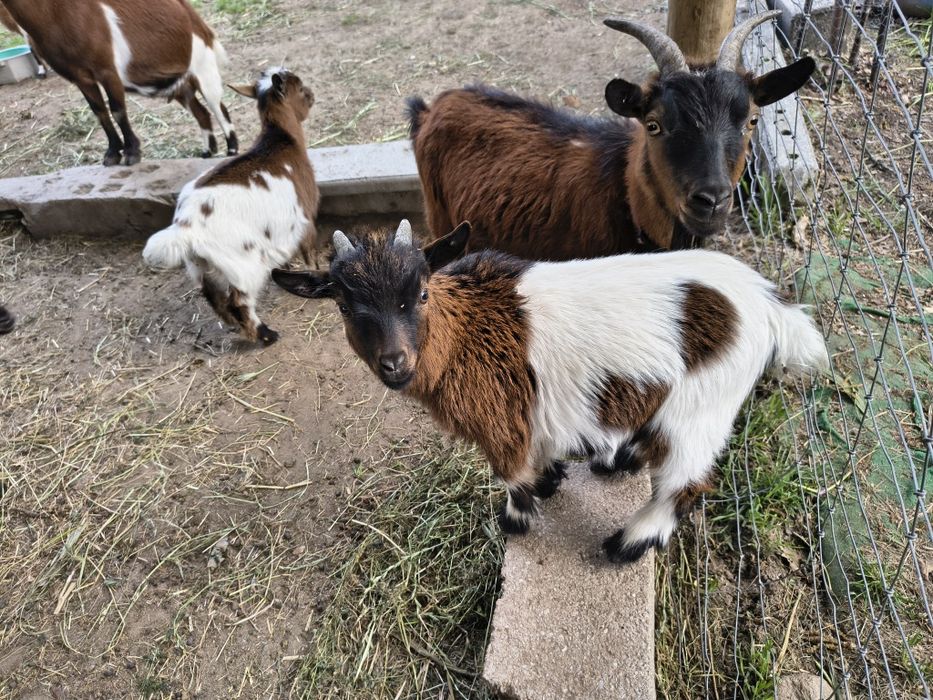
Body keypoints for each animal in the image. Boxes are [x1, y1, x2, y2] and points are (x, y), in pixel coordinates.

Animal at [0, 0, 237, 165]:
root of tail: (194, 18)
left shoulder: (108, 70)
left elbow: (117, 110)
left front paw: (132, 153)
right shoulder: (81, 77)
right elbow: (100, 113)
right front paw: (112, 154)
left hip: (203, 66)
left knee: (219, 108)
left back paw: (231, 151)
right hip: (181, 84)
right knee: (201, 112)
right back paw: (207, 152)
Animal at [143, 68, 317, 345]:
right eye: (300, 88)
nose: (312, 96)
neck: (281, 140)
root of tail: (185, 227)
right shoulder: (305, 217)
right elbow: (310, 253)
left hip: (203, 266)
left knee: (215, 299)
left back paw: (237, 327)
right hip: (243, 264)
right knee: (239, 301)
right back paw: (266, 335)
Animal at [272, 220, 827, 563]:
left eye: (422, 292)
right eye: (344, 306)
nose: (394, 364)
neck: (466, 331)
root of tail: (769, 305)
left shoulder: (500, 420)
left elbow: (510, 473)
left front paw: (516, 519)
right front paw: (551, 479)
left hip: (701, 408)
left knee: (685, 483)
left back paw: (628, 542)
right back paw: (618, 460)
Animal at [407, 12, 815, 257]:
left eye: (752, 120)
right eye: (653, 124)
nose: (711, 200)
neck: (623, 196)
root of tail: (429, 108)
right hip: (441, 218)